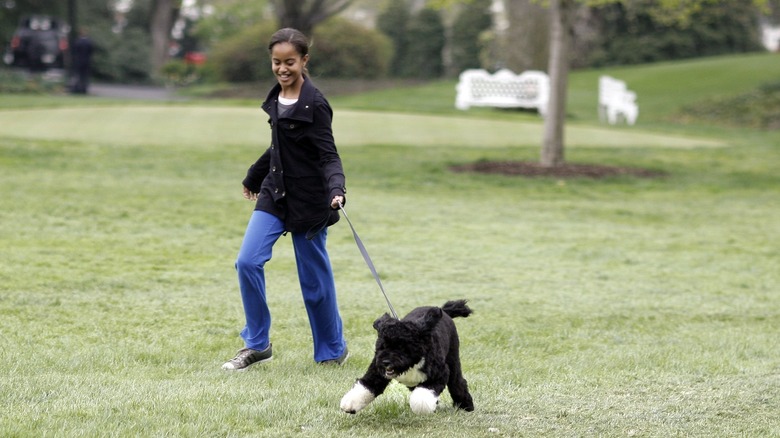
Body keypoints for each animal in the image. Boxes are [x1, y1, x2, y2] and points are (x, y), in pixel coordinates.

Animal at [338, 300, 472, 416]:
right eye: (382, 346)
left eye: (401, 347)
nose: (385, 362)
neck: (411, 364)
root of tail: (444, 312)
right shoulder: (377, 373)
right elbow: (367, 386)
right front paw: (350, 404)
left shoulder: (439, 374)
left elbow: (421, 399)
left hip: (453, 358)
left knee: (457, 382)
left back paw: (466, 406)